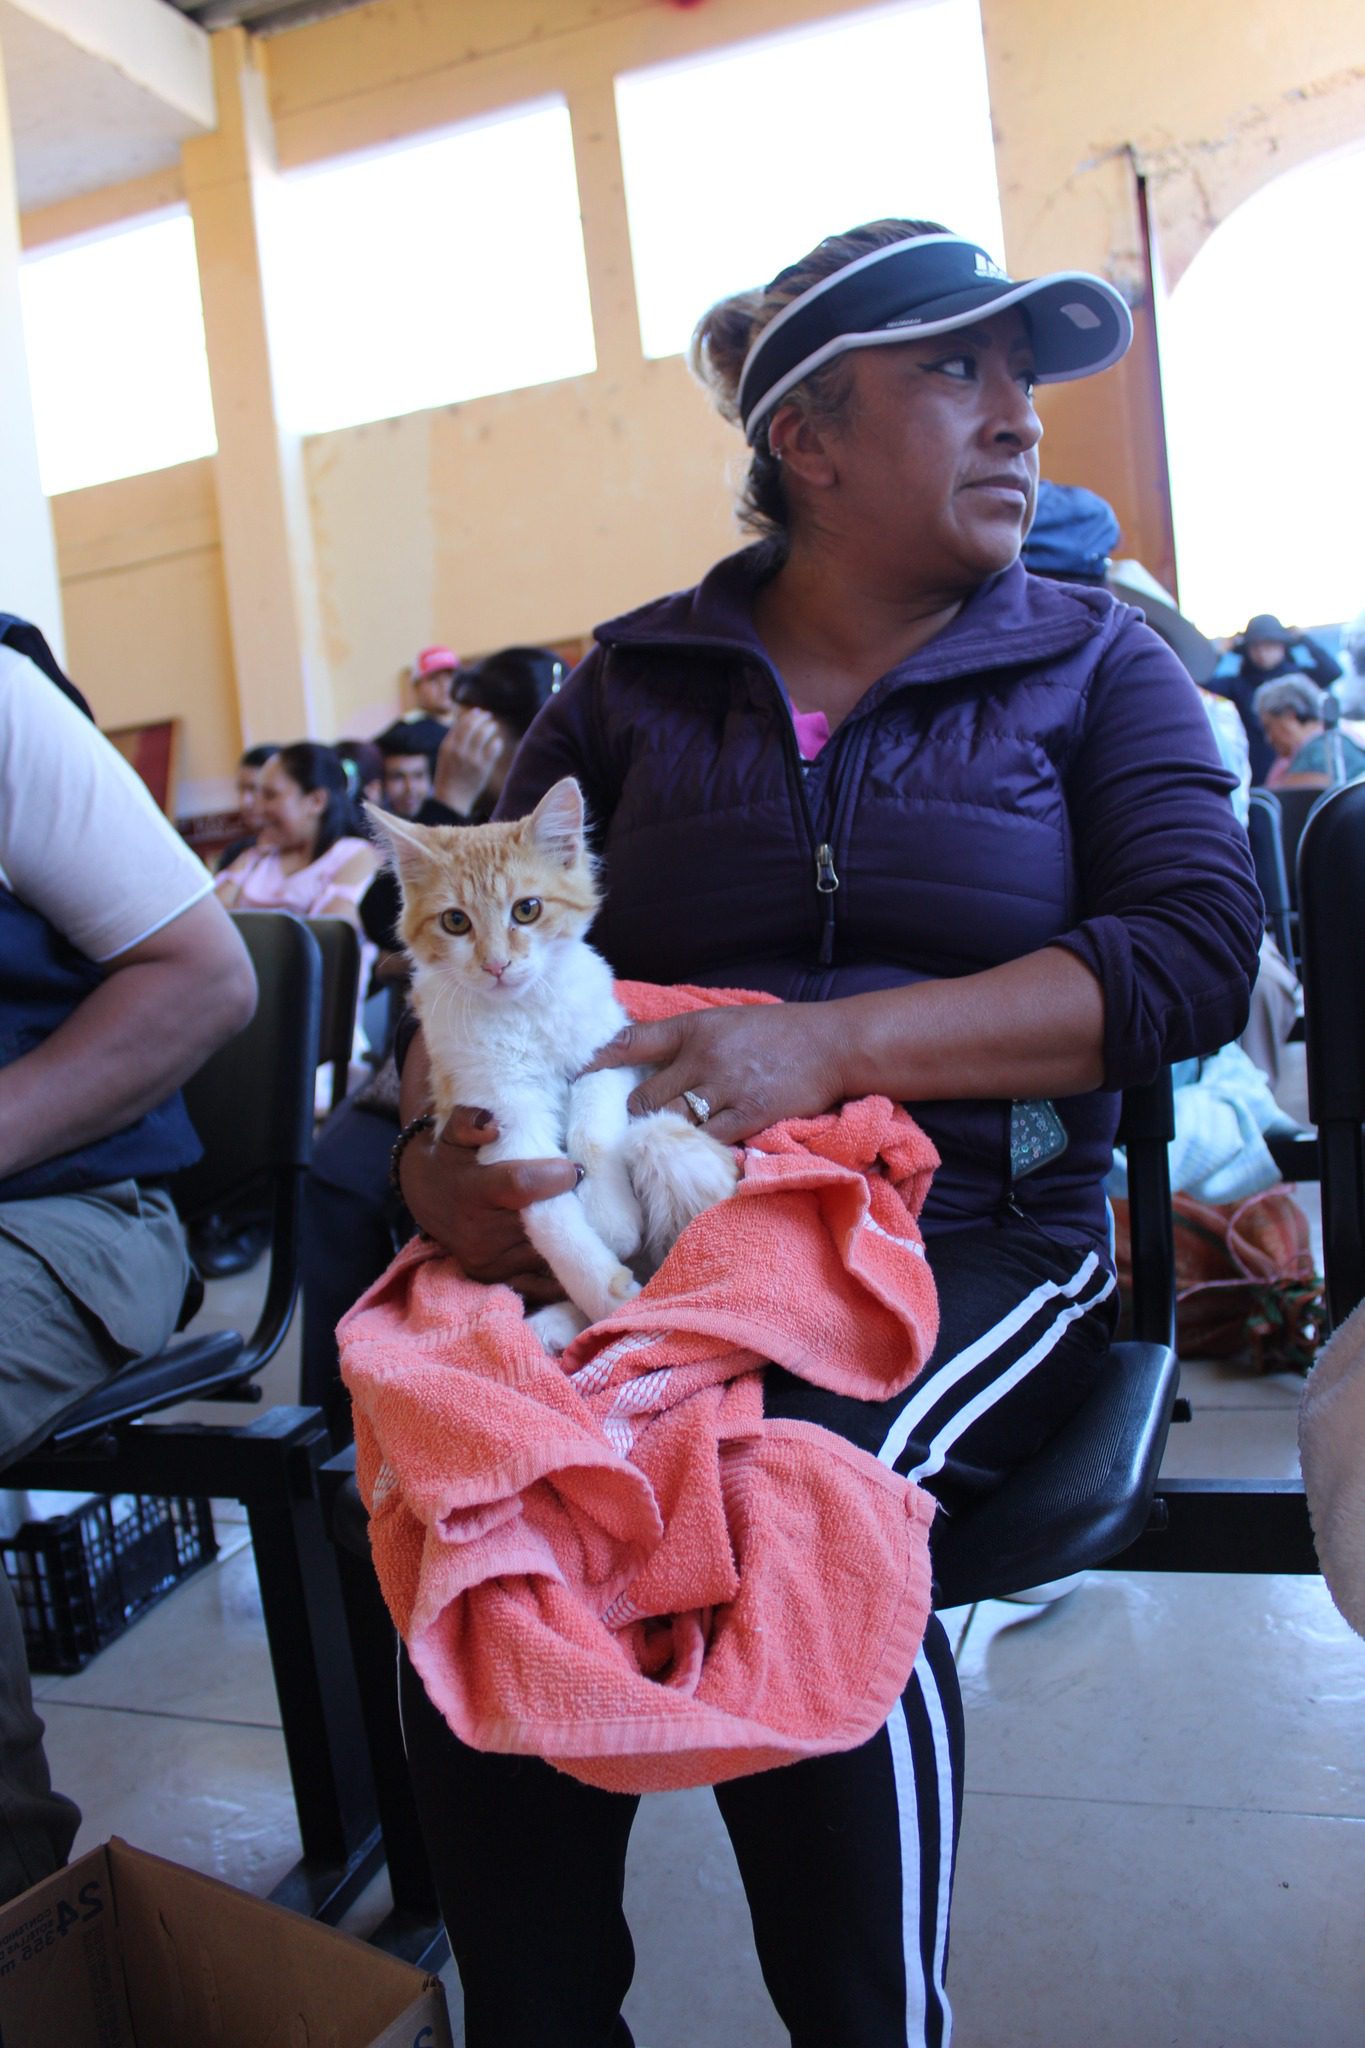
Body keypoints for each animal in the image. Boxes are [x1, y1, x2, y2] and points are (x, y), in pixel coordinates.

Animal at [368, 774, 740, 1351]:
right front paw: (605, 1290)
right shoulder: (501, 1118)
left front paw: (609, 1216)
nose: (497, 965)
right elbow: (548, 1215)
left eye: (527, 909)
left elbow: (593, 1134)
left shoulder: (607, 1057)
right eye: (455, 921)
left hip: (669, 1142)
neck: (523, 1013)